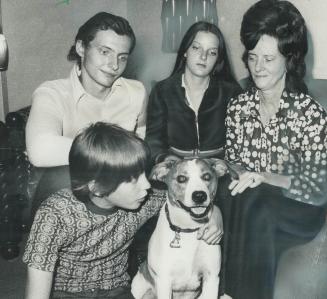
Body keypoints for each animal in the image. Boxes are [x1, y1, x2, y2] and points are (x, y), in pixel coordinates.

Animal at [132, 158, 227, 298]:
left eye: (207, 177)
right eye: (181, 178)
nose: (199, 196)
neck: (189, 230)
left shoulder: (212, 278)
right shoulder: (164, 281)